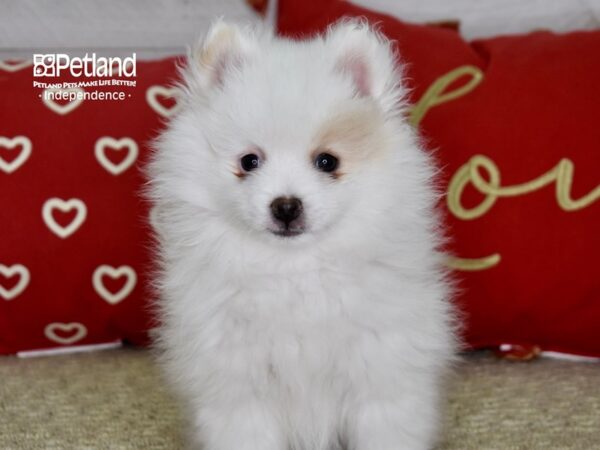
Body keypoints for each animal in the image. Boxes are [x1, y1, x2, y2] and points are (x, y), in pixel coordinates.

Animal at [148, 18, 458, 450]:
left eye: (327, 161)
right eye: (249, 161)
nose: (286, 205)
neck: (293, 271)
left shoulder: (381, 373)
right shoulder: (240, 385)